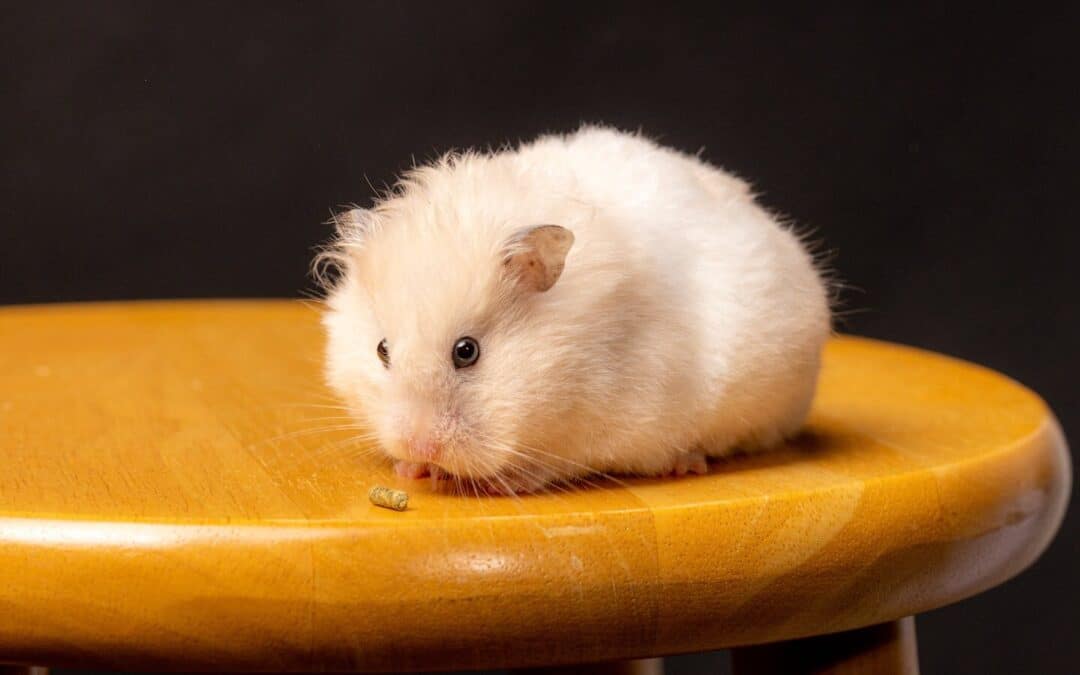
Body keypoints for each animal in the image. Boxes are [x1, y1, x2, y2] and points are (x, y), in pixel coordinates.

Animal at [318, 126, 831, 494]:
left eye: (467, 352)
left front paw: (497, 481)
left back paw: (688, 464)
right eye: (382, 350)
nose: (417, 444)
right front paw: (412, 470)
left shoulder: (604, 432)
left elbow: (551, 465)